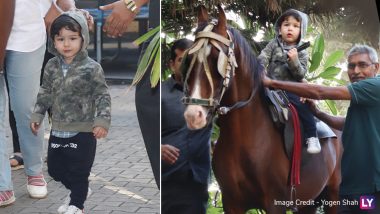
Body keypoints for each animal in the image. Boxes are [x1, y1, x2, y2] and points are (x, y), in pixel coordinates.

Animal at [183, 5, 342, 214]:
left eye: (216, 59)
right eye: (189, 59)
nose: (194, 115)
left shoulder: (275, 203)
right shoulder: (231, 201)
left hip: (334, 193)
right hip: (309, 201)